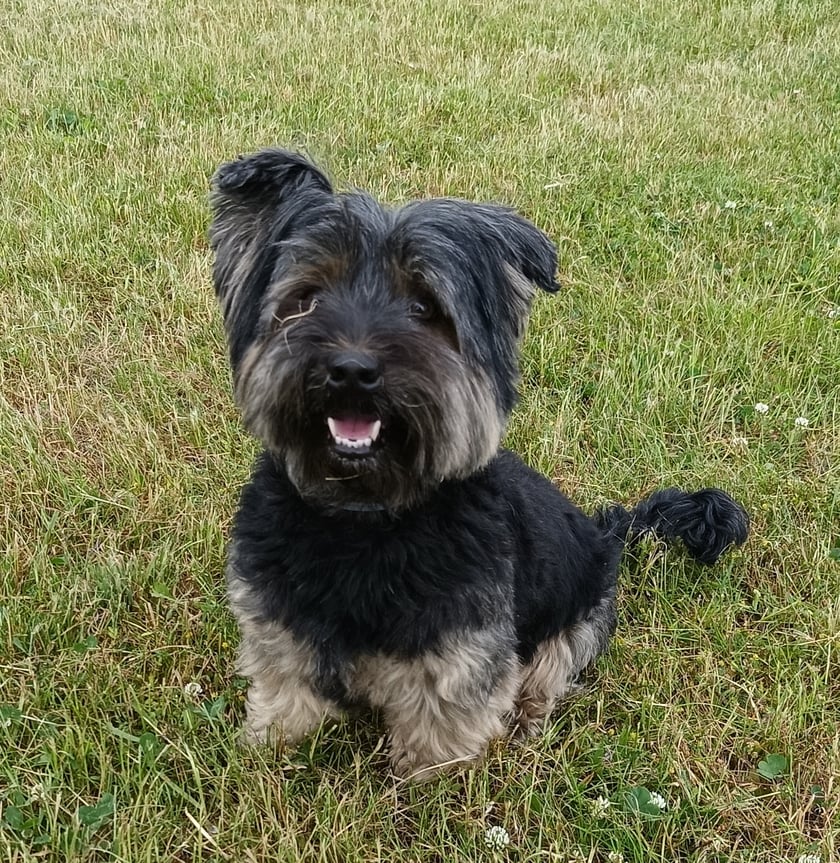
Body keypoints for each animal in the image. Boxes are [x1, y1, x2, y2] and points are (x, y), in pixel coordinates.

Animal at [208, 148, 748, 784]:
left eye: (424, 307)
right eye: (307, 298)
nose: (350, 370)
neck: (366, 516)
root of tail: (606, 532)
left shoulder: (462, 652)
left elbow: (440, 727)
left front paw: (426, 785)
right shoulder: (278, 615)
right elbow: (285, 685)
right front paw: (270, 747)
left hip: (583, 610)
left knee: (549, 668)